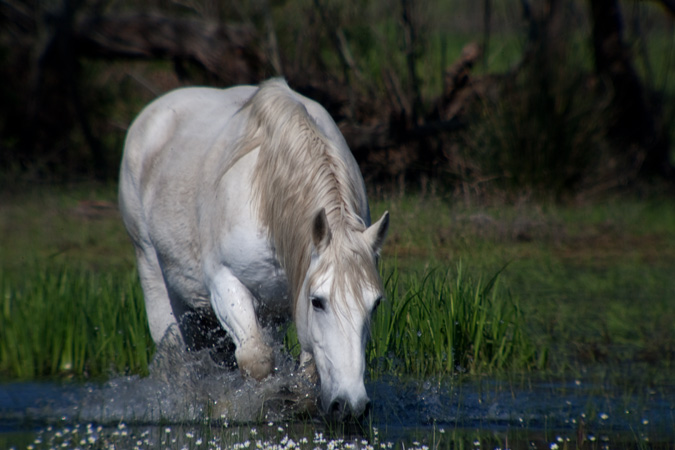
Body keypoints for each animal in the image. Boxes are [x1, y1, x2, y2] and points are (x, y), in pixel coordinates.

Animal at [119, 77, 388, 418]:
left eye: (375, 303)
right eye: (318, 302)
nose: (351, 406)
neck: (267, 195)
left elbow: (308, 369)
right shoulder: (225, 283)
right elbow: (256, 359)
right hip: (151, 269)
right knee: (174, 356)